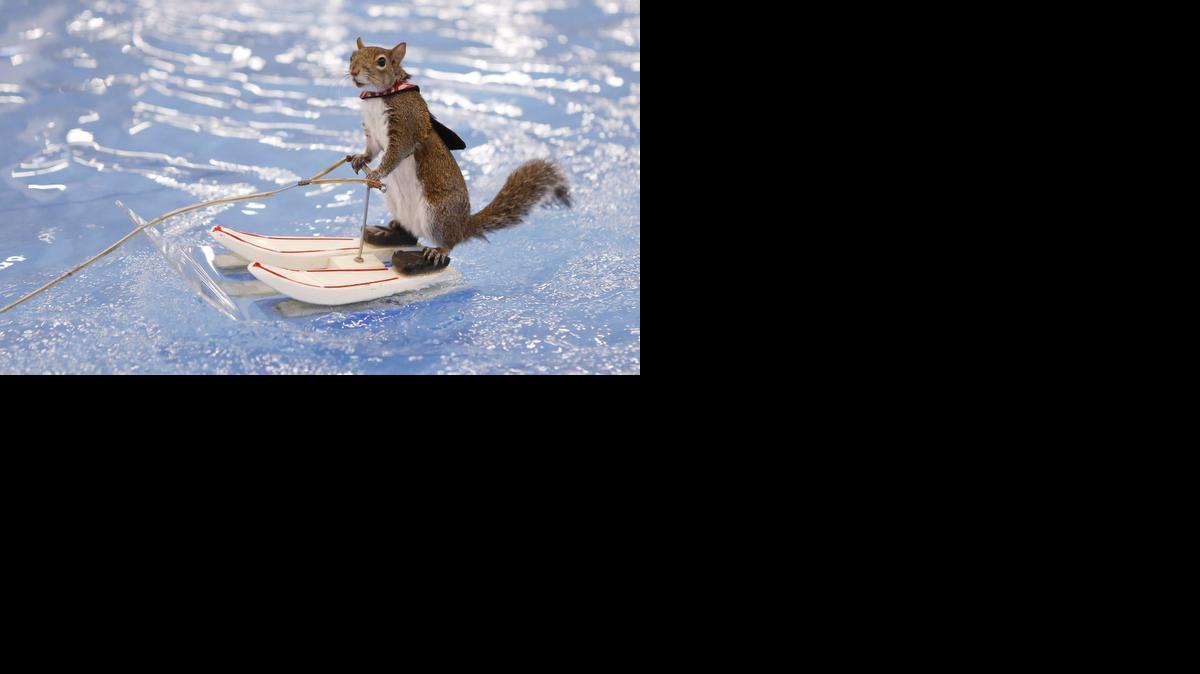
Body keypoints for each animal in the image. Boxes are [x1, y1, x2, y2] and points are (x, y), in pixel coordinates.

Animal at [347, 38, 571, 275]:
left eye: (381, 61)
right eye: (352, 57)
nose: (354, 71)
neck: (377, 97)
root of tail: (462, 226)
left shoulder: (407, 125)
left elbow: (395, 154)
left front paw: (376, 173)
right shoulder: (372, 134)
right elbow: (371, 150)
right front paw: (360, 159)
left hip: (437, 214)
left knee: (447, 242)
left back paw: (435, 252)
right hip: (397, 205)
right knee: (408, 234)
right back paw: (384, 233)